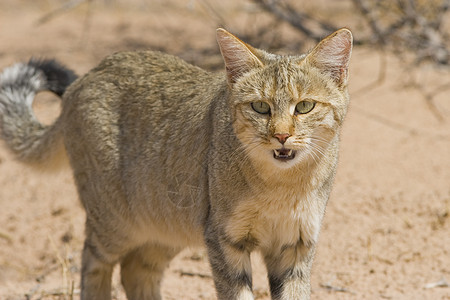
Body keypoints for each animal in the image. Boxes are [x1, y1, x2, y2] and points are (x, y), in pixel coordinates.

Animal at [0, 28, 352, 300]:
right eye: (260, 107)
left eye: (304, 106)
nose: (281, 136)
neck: (281, 186)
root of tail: (88, 75)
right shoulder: (225, 239)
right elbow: (237, 293)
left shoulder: (296, 246)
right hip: (115, 222)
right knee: (92, 260)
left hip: (168, 223)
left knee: (135, 270)